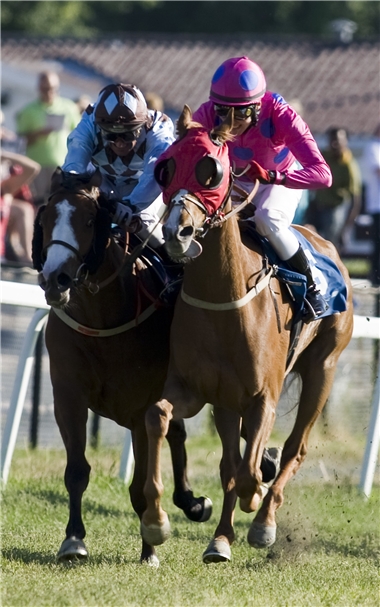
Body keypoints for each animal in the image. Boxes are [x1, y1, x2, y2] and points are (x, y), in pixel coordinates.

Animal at [31, 169, 211, 568]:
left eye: (88, 221)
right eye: (46, 219)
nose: (55, 279)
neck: (102, 320)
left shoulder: (140, 407)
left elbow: (141, 485)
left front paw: (150, 549)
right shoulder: (68, 395)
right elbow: (77, 471)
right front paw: (73, 540)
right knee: (178, 433)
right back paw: (191, 502)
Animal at [142, 105, 354, 564]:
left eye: (210, 171)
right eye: (166, 167)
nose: (177, 232)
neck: (224, 297)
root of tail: (325, 242)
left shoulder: (263, 399)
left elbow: (249, 472)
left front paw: (257, 501)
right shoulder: (196, 389)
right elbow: (158, 415)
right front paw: (156, 521)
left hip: (323, 368)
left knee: (294, 448)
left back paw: (262, 520)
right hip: (227, 400)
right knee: (230, 462)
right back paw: (221, 539)